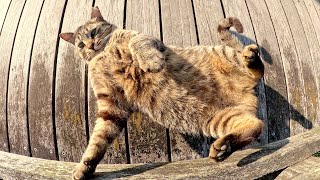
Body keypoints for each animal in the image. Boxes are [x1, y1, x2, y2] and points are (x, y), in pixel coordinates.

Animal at [60, 6, 264, 179]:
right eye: (80, 44)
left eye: (93, 32)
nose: (90, 46)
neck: (103, 54)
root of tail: (248, 87)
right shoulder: (111, 106)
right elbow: (97, 142)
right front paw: (84, 167)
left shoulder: (144, 37)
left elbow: (136, 42)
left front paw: (151, 62)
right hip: (220, 119)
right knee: (255, 126)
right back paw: (224, 147)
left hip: (225, 55)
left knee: (259, 68)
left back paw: (250, 57)